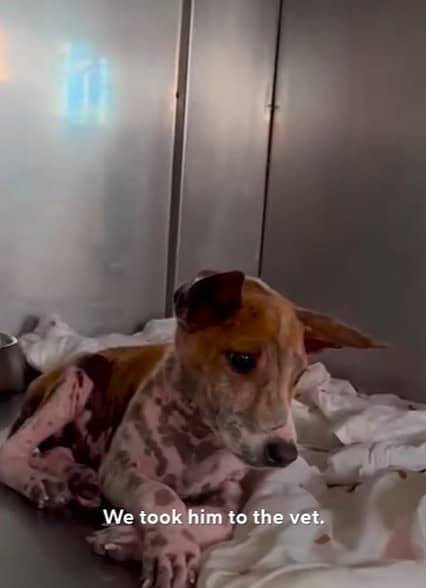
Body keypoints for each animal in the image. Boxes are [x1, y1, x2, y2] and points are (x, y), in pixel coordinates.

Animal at [0, 270, 382, 588]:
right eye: (241, 360)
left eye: (299, 375)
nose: (286, 454)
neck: (198, 437)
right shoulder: (122, 467)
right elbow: (163, 495)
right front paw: (170, 547)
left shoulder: (227, 495)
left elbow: (219, 521)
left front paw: (129, 540)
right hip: (73, 383)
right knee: (13, 449)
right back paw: (39, 481)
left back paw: (78, 479)